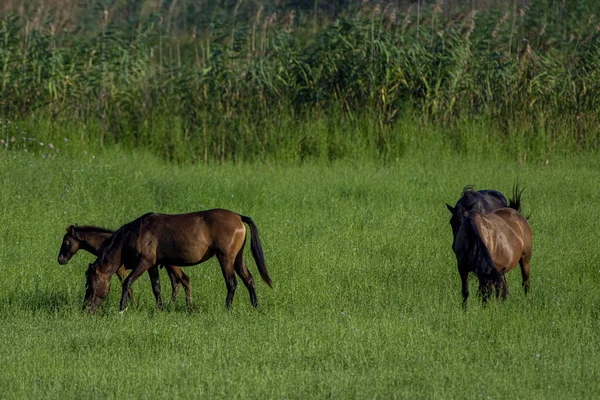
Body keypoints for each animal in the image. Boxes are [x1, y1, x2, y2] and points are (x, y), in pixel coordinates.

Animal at [57, 227, 191, 308]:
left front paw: (133, 306)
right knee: (176, 283)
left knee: (184, 280)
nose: (60, 260)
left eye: (65, 241)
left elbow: (128, 286)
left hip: (172, 266)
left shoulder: (120, 269)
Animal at [84, 209, 272, 312]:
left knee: (232, 283)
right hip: (238, 258)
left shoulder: (144, 263)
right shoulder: (152, 265)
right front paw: (160, 308)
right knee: (249, 279)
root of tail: (239, 217)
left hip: (226, 258)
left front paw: (122, 308)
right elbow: (156, 288)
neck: (134, 234)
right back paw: (255, 306)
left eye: (90, 285)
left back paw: (227, 309)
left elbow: (127, 281)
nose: (85, 308)